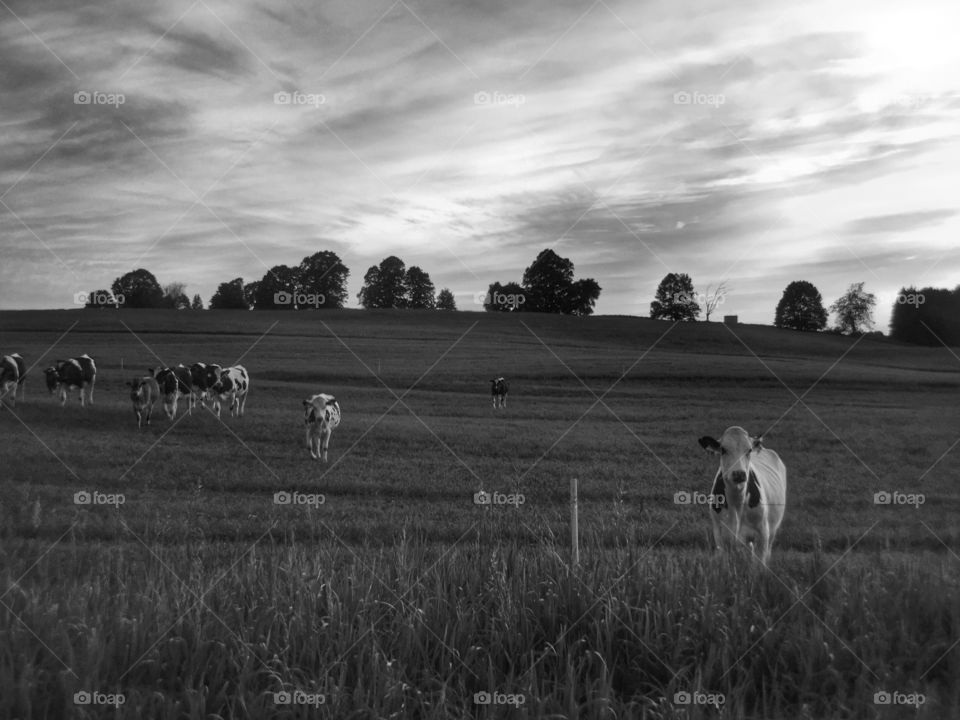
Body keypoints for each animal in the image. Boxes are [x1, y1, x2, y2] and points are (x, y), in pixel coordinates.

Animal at [696, 424, 788, 564]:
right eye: (723, 449)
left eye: (749, 450)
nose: (739, 474)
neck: (736, 504)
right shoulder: (720, 537)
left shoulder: (763, 534)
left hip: (771, 531)